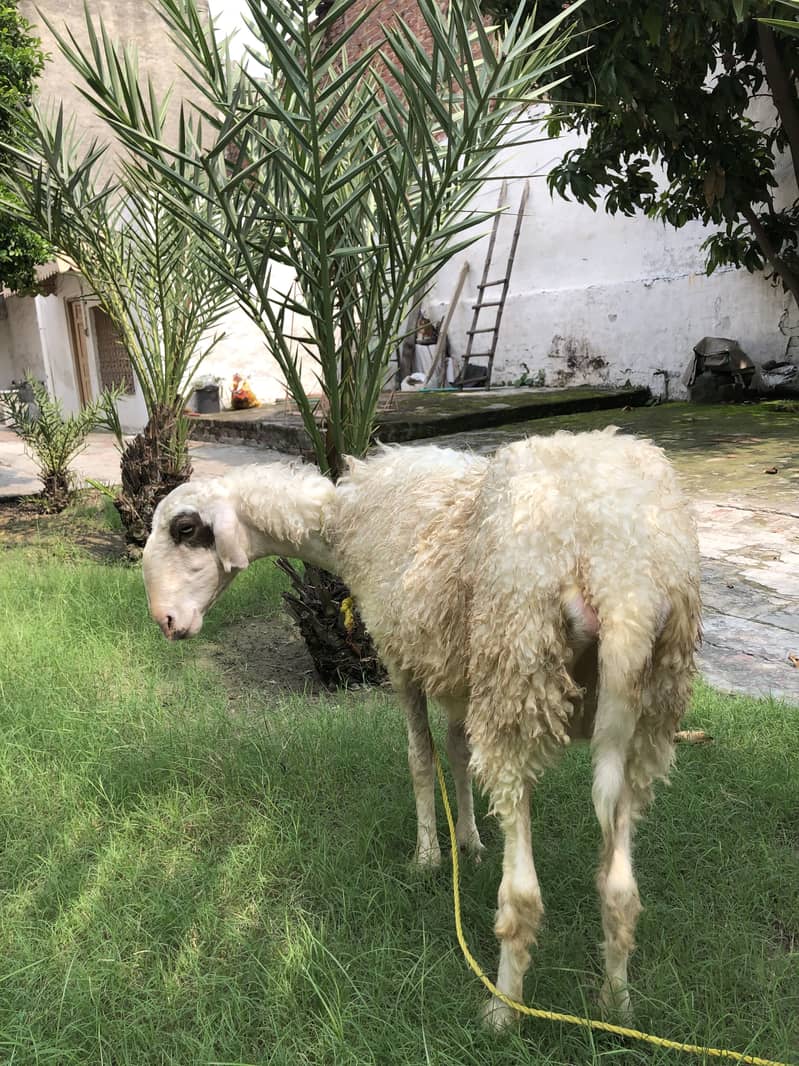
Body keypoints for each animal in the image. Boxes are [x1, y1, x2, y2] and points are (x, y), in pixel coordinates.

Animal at [142, 428, 700, 1027]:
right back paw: (616, 1007)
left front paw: (429, 857)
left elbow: (420, 758)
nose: (166, 624)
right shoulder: (458, 677)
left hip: (515, 670)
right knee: (621, 890)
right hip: (646, 717)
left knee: (523, 894)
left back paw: (502, 1011)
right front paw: (469, 842)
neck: (341, 523)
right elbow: (456, 753)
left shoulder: (399, 657)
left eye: (184, 529)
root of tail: (623, 583)